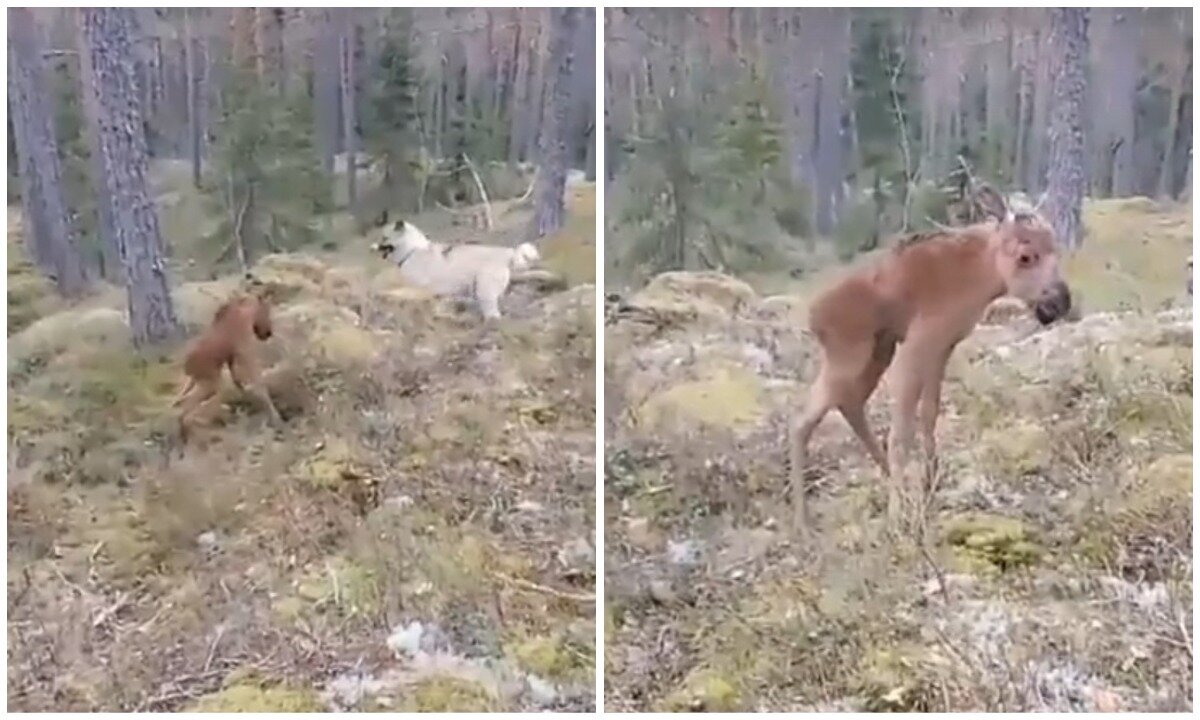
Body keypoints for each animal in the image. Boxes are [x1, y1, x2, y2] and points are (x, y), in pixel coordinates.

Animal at [372, 218, 542, 319]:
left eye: (384, 238)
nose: (374, 247)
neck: (412, 250)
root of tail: (510, 253)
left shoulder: (419, 289)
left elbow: (400, 293)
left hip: (484, 289)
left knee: (492, 312)